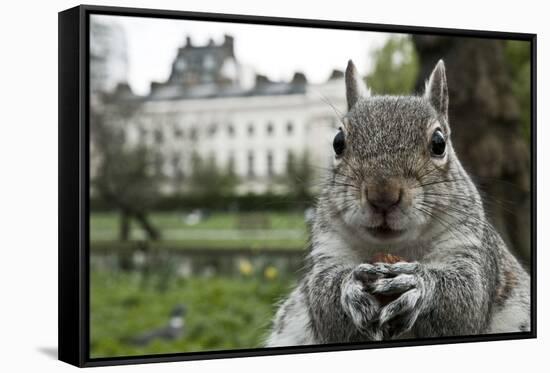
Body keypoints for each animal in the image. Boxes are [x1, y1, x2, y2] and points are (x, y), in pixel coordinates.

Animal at [266, 59, 532, 344]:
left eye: (439, 143)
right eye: (338, 143)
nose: (382, 195)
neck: (397, 246)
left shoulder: (470, 247)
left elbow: (466, 300)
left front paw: (418, 284)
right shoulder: (328, 248)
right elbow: (324, 305)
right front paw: (350, 285)